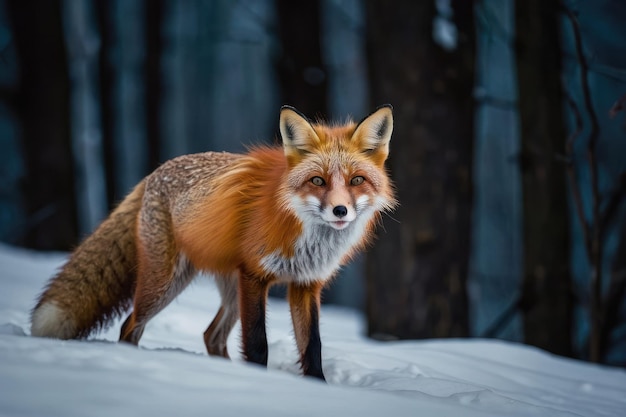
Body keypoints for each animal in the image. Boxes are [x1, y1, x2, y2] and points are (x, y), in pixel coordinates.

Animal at [30, 105, 394, 380]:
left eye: (357, 180)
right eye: (317, 181)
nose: (340, 210)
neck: (303, 232)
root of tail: (154, 173)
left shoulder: (306, 285)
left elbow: (312, 349)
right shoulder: (255, 277)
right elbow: (257, 344)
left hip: (229, 291)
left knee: (211, 335)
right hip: (166, 284)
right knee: (129, 326)